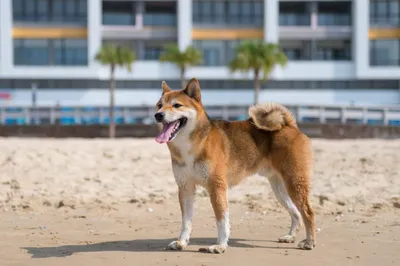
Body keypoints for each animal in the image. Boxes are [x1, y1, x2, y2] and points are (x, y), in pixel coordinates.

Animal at [153, 77, 316, 254]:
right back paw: (290, 236)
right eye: (159, 105)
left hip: (294, 183)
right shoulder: (185, 188)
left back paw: (309, 242)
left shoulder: (217, 187)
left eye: (177, 105)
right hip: (280, 189)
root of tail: (289, 125)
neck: (193, 145)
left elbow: (221, 220)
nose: (158, 115)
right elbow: (186, 221)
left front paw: (220, 245)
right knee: (296, 213)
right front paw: (181, 242)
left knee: (308, 212)